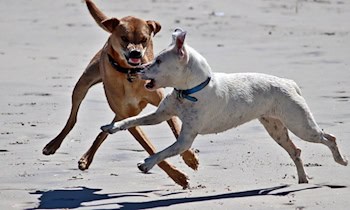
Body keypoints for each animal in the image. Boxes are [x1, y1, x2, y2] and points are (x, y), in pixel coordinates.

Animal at [41, 0, 197, 187]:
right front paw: (178, 176)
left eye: (144, 39)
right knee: (73, 118)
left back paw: (87, 157)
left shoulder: (158, 104)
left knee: (107, 126)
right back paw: (54, 145)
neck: (129, 73)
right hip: (83, 84)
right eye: (124, 38)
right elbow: (149, 147)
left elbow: (176, 128)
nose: (136, 52)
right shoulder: (128, 116)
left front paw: (189, 158)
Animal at [101, 28, 348, 184]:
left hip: (301, 126)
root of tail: (289, 83)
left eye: (159, 61)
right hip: (276, 129)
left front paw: (147, 163)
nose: (137, 69)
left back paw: (341, 160)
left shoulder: (185, 140)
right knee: (296, 150)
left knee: (329, 138)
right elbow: (132, 120)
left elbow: (164, 152)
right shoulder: (161, 115)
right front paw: (112, 127)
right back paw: (303, 179)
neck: (190, 91)